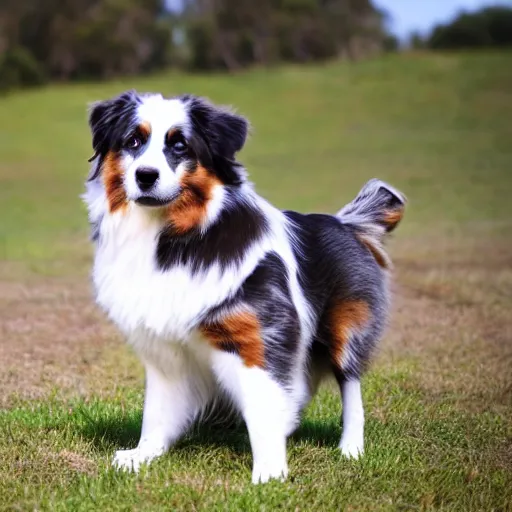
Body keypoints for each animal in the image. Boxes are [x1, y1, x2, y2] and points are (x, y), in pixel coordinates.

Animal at [83, 90, 404, 482]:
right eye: (132, 141)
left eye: (180, 145)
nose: (145, 175)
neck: (173, 236)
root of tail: (345, 222)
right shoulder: (165, 349)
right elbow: (158, 410)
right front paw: (143, 455)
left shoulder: (258, 335)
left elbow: (264, 405)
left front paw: (269, 473)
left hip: (346, 326)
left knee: (350, 384)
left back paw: (351, 449)